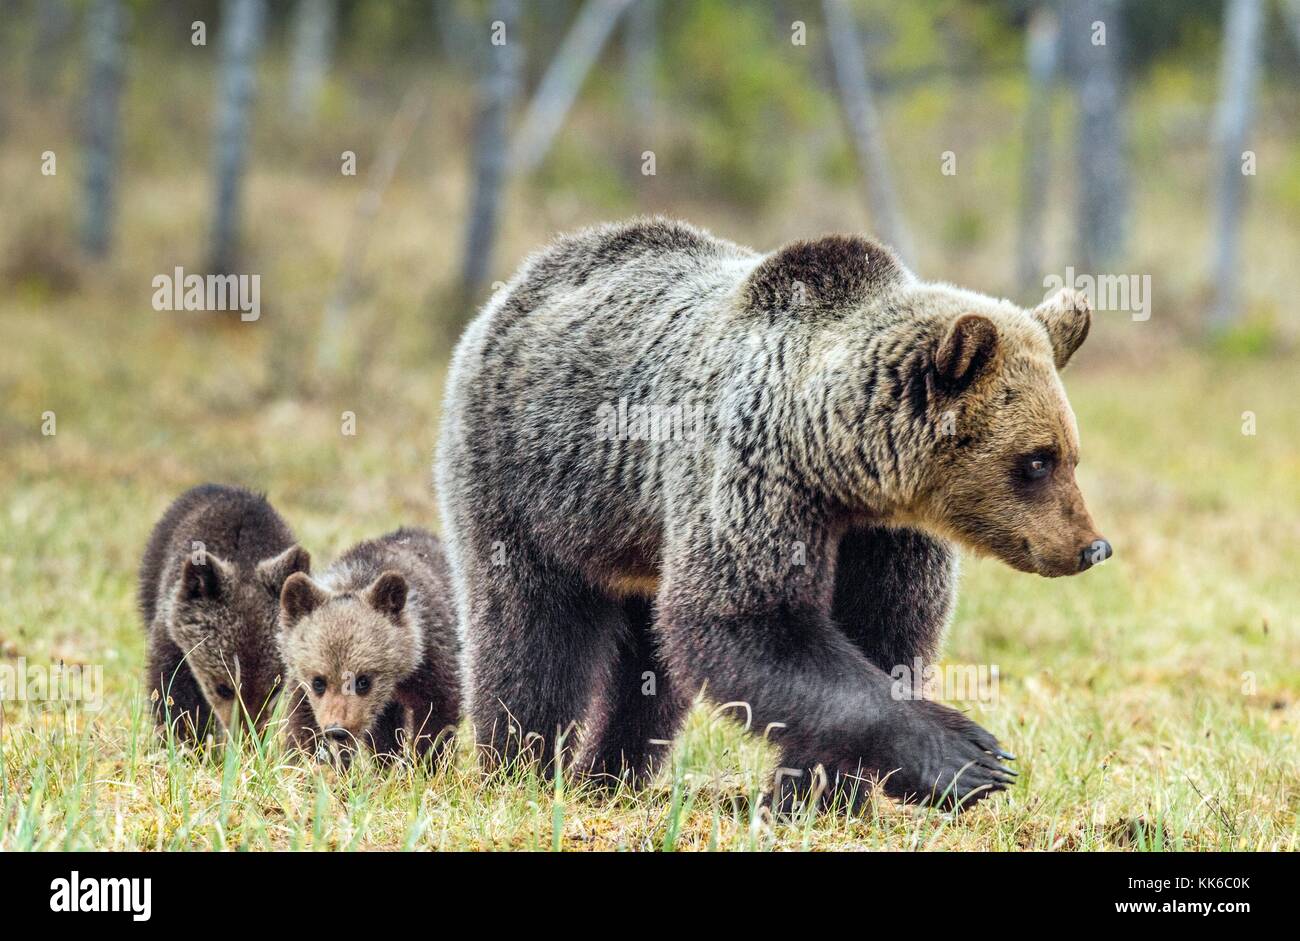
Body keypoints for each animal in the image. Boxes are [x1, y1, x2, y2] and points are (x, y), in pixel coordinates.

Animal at [139, 483, 310, 740]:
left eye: (274, 689)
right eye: (223, 688)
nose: (246, 737)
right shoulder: (172, 633)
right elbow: (172, 690)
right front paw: (187, 739)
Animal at [277, 527, 461, 769]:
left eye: (363, 681)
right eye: (318, 682)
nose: (337, 730)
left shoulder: (434, 658)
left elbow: (437, 715)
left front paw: (429, 765)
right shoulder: (302, 684)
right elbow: (302, 721)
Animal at [435, 217, 1109, 809]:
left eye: (1070, 455)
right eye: (1035, 461)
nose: (1091, 546)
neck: (836, 460)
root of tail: (524, 279)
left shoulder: (886, 534)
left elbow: (884, 628)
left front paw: (815, 794)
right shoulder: (752, 475)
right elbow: (748, 621)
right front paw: (965, 757)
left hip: (634, 535)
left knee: (648, 670)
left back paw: (610, 775)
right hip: (528, 484)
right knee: (530, 632)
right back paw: (520, 767)